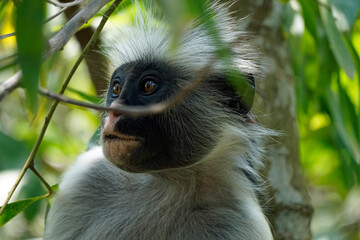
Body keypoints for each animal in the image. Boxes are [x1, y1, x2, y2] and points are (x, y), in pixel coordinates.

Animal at [44, 0, 276, 239]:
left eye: (148, 86)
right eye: (116, 89)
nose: (115, 111)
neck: (171, 180)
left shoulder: (239, 221)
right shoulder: (85, 177)